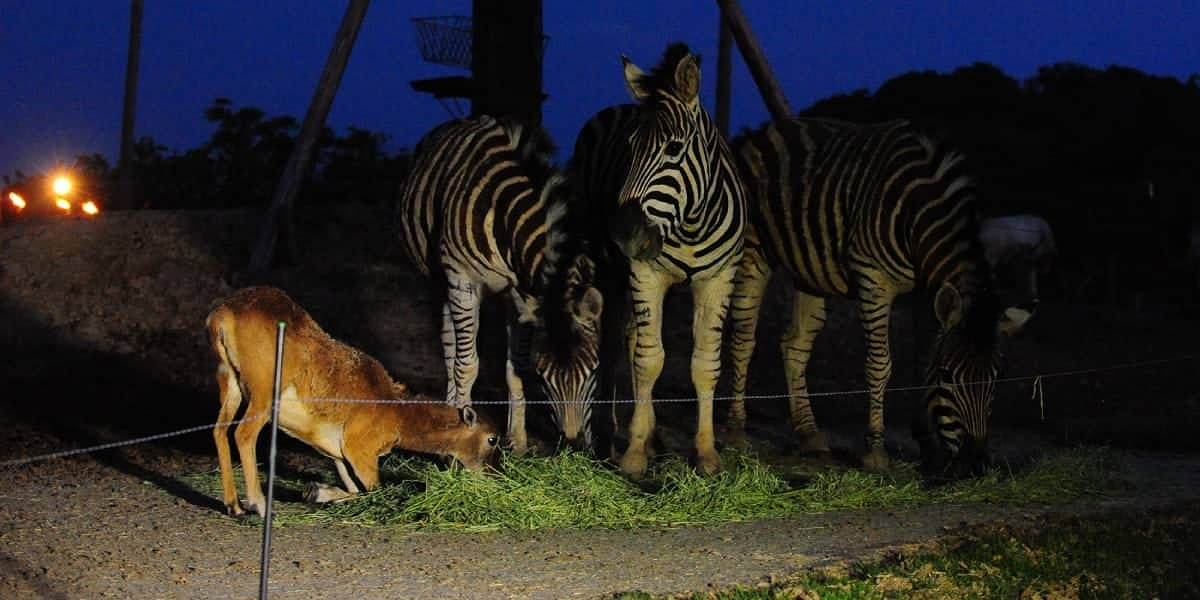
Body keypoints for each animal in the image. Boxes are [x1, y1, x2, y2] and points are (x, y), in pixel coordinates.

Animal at [208, 285, 499, 516]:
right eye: (492, 439)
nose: (494, 476)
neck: (398, 414)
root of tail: (222, 315)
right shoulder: (360, 450)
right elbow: (376, 491)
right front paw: (316, 492)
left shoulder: (338, 454)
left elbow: (356, 490)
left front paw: (315, 492)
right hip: (263, 392)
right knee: (243, 434)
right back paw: (259, 504)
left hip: (231, 383)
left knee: (219, 430)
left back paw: (234, 506)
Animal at [398, 115, 604, 453]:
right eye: (544, 378)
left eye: (594, 371)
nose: (574, 447)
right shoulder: (462, 278)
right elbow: (467, 363)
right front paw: (460, 435)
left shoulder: (522, 296)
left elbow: (514, 368)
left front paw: (517, 442)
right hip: (441, 281)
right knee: (451, 346)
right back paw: (450, 412)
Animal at [568, 42, 744, 475]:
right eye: (629, 148)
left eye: (674, 148)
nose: (624, 233)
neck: (692, 223)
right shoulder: (644, 272)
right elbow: (649, 360)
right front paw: (633, 456)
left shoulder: (719, 278)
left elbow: (704, 363)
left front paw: (706, 454)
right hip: (611, 268)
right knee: (617, 343)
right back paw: (615, 432)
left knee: (633, 337)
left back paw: (645, 433)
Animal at [720, 117, 1032, 470]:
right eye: (948, 376)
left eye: (996, 378)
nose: (976, 463)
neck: (917, 213)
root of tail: (763, 131)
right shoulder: (874, 280)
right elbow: (880, 364)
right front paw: (876, 451)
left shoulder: (926, 293)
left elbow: (921, 361)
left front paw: (928, 445)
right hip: (753, 251)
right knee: (743, 340)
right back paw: (736, 431)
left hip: (809, 272)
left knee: (795, 345)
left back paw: (810, 435)